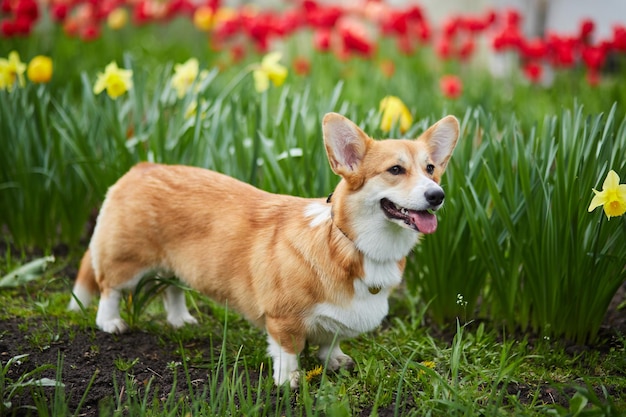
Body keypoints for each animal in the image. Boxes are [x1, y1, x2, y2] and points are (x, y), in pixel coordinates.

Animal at [68, 112, 458, 388]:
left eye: (430, 169)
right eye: (395, 169)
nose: (437, 196)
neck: (351, 244)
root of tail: (140, 168)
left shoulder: (335, 319)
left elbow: (330, 339)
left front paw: (334, 360)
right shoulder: (283, 318)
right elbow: (288, 351)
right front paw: (289, 380)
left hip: (176, 264)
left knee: (171, 290)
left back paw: (180, 320)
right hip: (128, 261)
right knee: (109, 288)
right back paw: (110, 322)